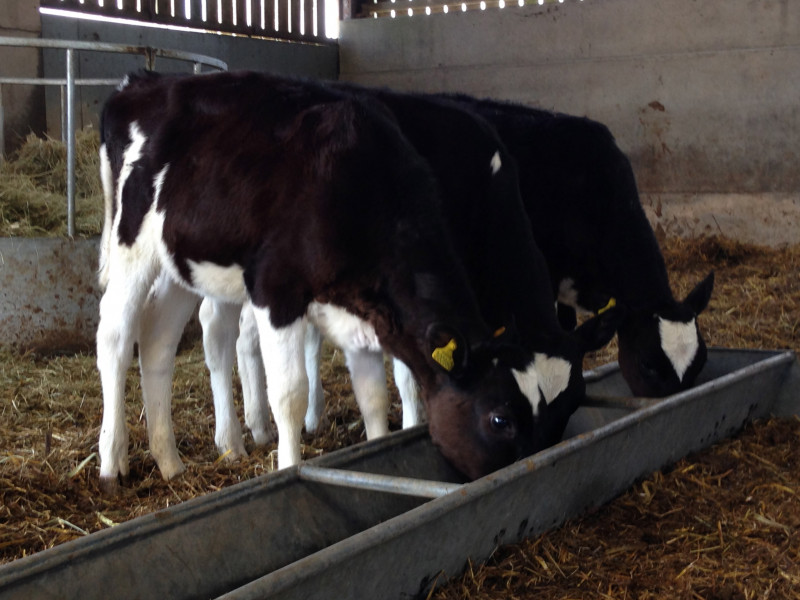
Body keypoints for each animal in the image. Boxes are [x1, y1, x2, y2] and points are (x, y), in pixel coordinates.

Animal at [96, 70, 542, 491]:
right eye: (500, 419)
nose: (525, 473)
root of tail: (140, 83)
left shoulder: (364, 313)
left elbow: (374, 397)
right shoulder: (275, 290)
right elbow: (290, 393)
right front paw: (288, 465)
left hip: (179, 260)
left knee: (158, 341)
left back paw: (169, 461)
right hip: (131, 244)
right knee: (116, 335)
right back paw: (112, 461)